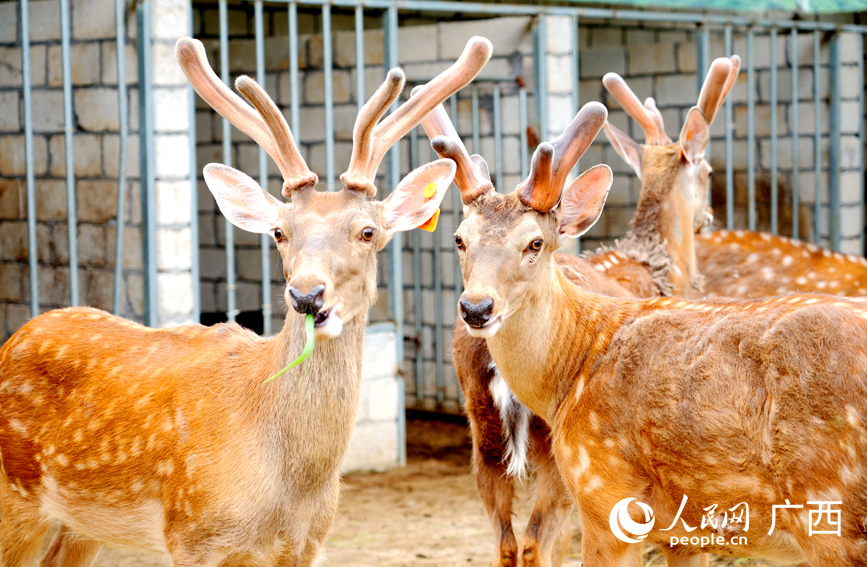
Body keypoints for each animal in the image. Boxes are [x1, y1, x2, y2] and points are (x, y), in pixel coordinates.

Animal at [0, 35, 493, 567]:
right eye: (279, 231)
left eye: (367, 232)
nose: (307, 294)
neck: (290, 489)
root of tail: (14, 339)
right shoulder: (193, 533)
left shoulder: (307, 543)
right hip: (16, 497)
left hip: (82, 523)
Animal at [417, 57, 738, 567]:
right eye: (708, 171)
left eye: (458, 239)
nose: (477, 306)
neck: (659, 265)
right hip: (556, 449)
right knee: (538, 541)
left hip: (481, 433)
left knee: (505, 541)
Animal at [446, 78, 867, 566]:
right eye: (459, 239)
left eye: (535, 242)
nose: (476, 308)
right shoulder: (645, 512)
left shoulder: (604, 488)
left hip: (826, 503)